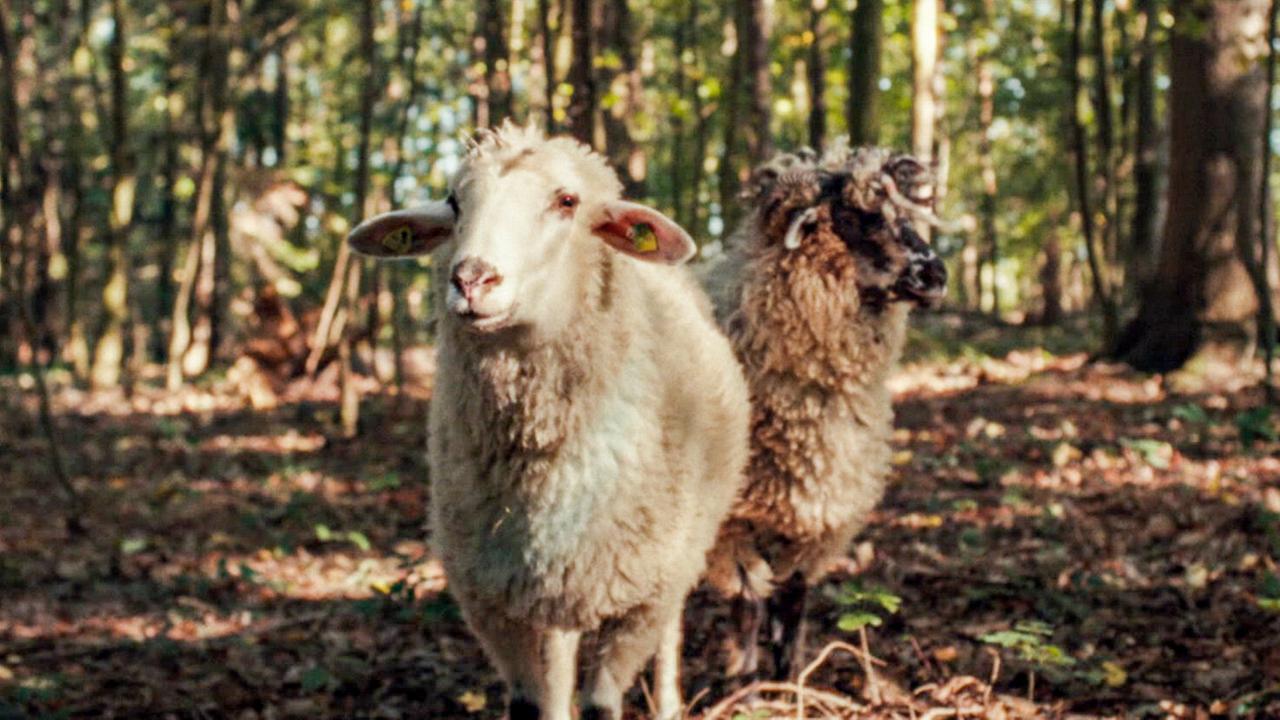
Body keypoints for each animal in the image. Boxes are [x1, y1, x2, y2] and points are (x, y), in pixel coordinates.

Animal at [346, 122, 750, 720]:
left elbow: (603, 702)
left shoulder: (637, 597)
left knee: (670, 633)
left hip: (674, 557)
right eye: (455, 201)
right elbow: (532, 701)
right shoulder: (492, 600)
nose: (472, 279)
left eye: (567, 202)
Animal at [702, 142, 947, 680]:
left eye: (904, 213)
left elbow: (791, 605)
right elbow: (748, 609)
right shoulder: (732, 525)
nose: (936, 273)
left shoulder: (817, 517)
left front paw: (791, 682)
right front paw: (747, 688)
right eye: (854, 217)